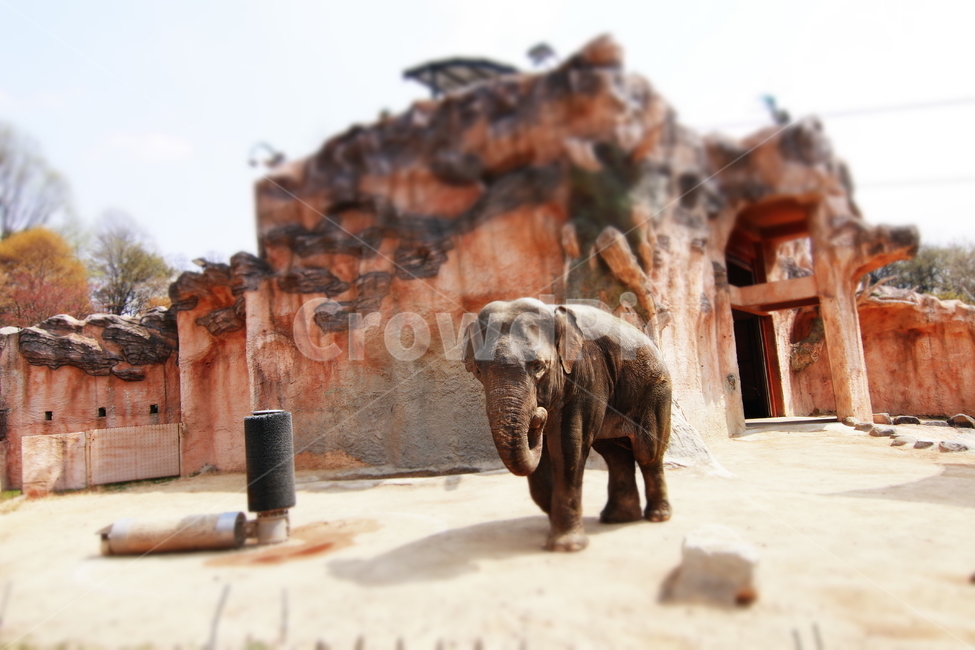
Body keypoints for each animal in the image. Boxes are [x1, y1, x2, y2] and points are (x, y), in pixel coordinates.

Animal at [463, 297, 672, 552]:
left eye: (538, 366)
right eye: (478, 370)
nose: (538, 414)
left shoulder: (587, 373)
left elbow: (568, 444)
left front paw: (566, 547)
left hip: (655, 391)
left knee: (647, 452)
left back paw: (657, 517)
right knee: (614, 453)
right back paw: (618, 518)